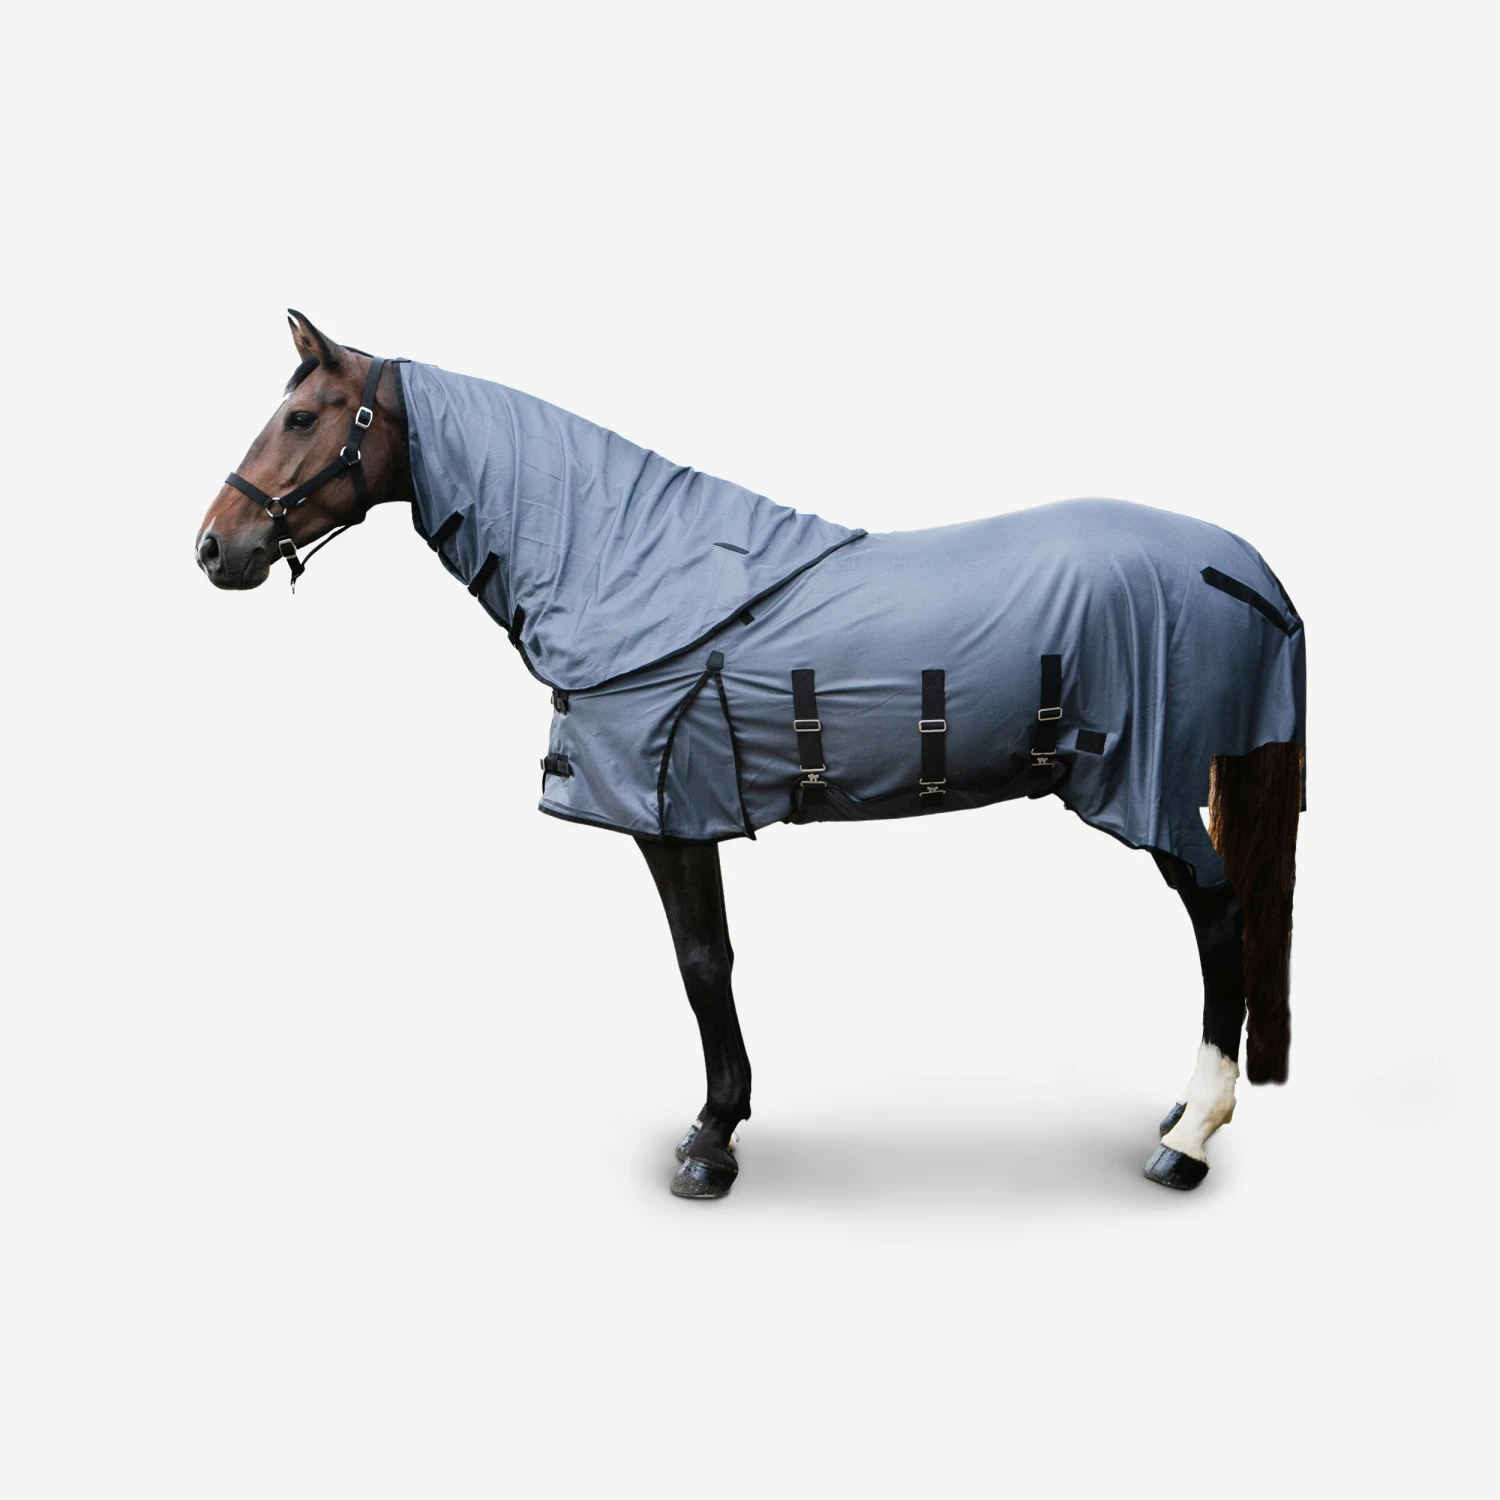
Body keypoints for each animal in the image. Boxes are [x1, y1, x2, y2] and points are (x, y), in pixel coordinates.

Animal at [196, 311, 1305, 1199]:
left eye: (305, 418)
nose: (213, 547)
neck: (623, 565)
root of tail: (1244, 564)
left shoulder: (670, 812)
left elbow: (701, 964)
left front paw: (711, 1142)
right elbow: (711, 961)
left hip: (1149, 787)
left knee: (1221, 920)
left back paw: (1188, 1142)